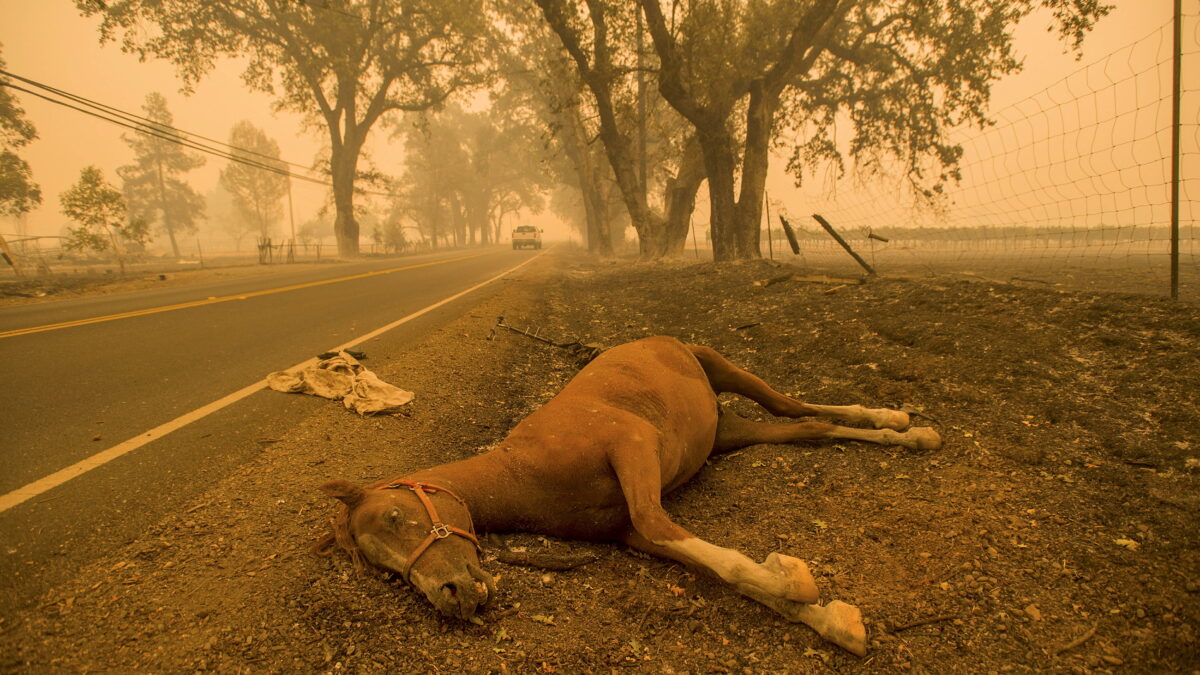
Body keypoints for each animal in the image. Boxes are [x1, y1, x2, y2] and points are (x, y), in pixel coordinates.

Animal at [316, 333, 936, 653]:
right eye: (384, 571)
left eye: (396, 516)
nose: (452, 596)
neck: (525, 473)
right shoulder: (628, 533)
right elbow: (712, 566)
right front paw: (833, 619)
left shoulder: (632, 446)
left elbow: (669, 525)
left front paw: (795, 578)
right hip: (727, 433)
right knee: (809, 427)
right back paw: (906, 431)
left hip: (722, 368)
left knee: (793, 405)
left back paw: (900, 422)